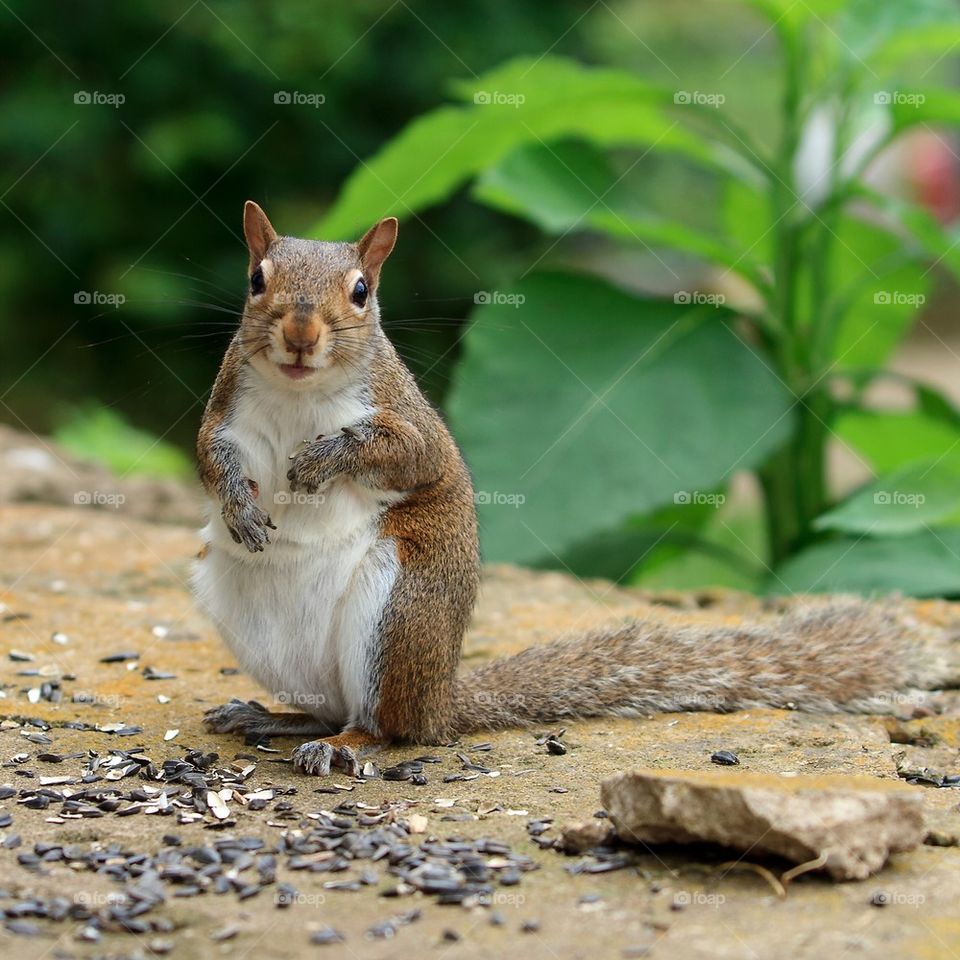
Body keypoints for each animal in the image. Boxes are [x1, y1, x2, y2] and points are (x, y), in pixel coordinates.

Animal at [193, 201, 958, 777]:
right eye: (256, 279)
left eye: (361, 291)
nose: (299, 334)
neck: (301, 394)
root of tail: (442, 698)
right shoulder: (226, 405)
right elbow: (211, 458)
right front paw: (241, 506)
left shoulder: (404, 418)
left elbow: (407, 457)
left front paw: (321, 463)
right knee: (326, 706)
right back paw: (274, 715)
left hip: (397, 615)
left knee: (387, 728)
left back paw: (346, 744)